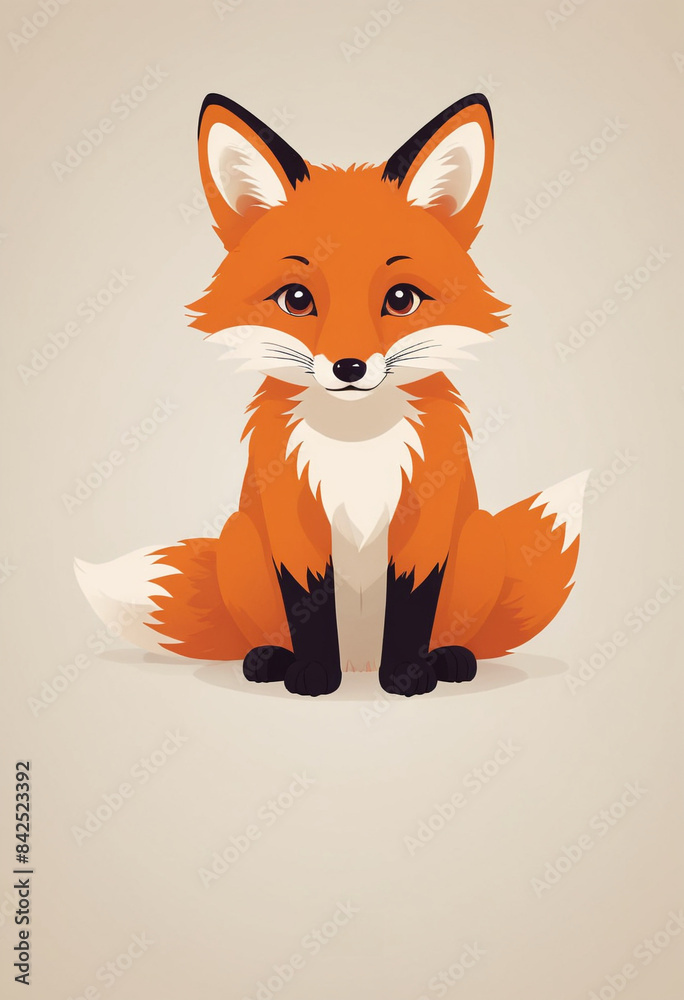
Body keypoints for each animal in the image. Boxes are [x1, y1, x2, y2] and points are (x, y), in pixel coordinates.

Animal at [76, 92, 589, 697]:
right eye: (296, 299)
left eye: (401, 299)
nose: (349, 367)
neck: (355, 445)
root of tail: (360, 663)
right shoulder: (292, 520)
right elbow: (308, 605)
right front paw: (314, 674)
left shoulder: (426, 523)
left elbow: (412, 606)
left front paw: (408, 676)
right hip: (240, 538)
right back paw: (269, 659)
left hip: (480, 535)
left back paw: (449, 658)